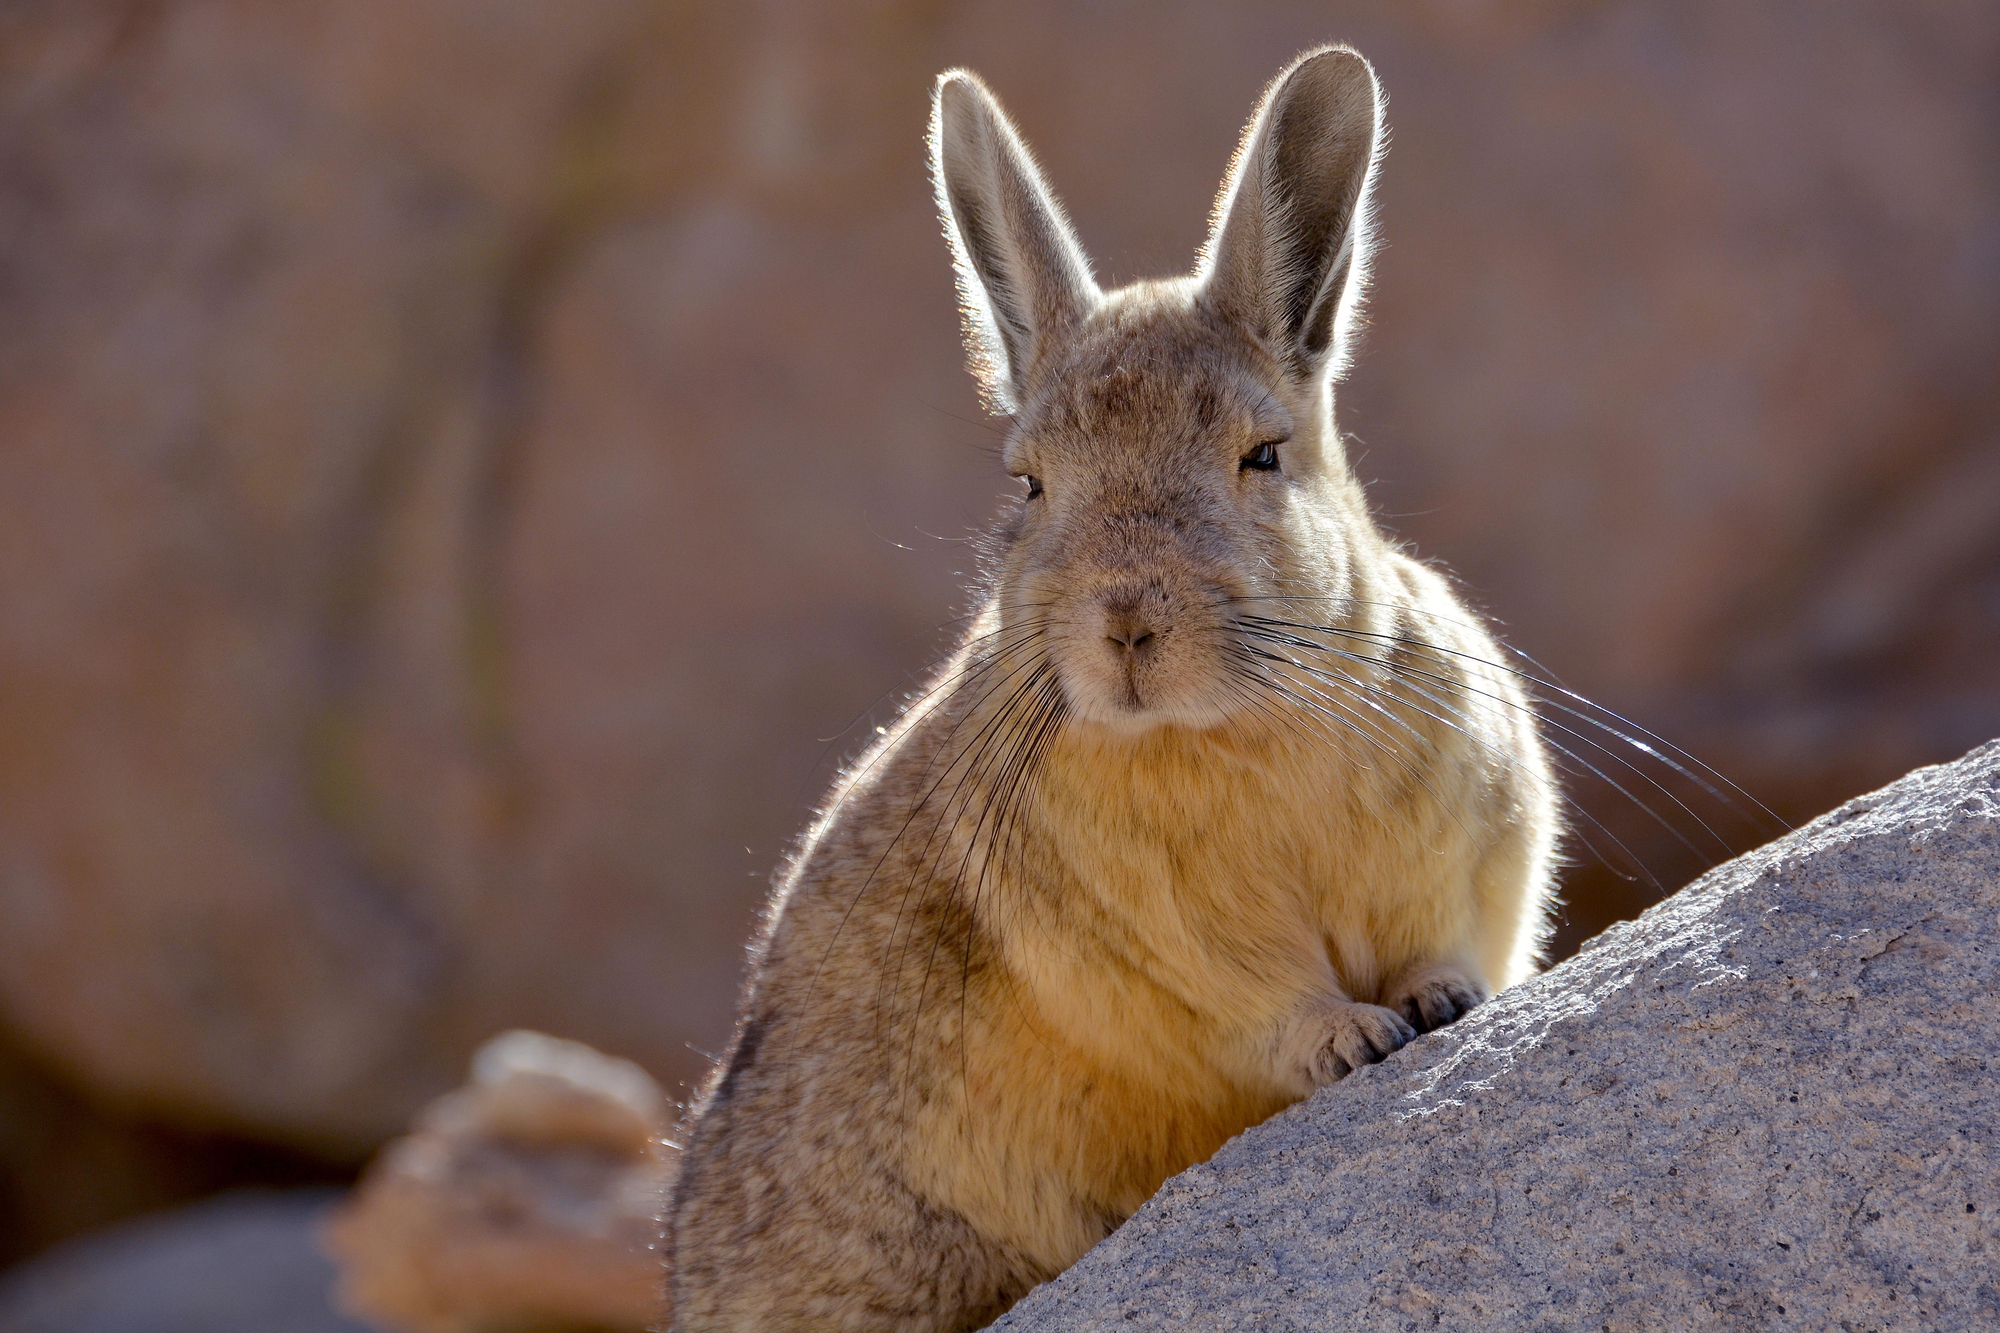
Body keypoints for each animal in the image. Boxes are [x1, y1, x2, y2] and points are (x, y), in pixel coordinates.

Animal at [667, 44, 1559, 1332]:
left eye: (1263, 454)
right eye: (1029, 484)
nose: (1126, 621)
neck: (1232, 726)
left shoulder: (1472, 850)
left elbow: (1440, 946)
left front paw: (1436, 1006)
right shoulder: (1169, 949)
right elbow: (1265, 1004)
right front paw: (1354, 1038)